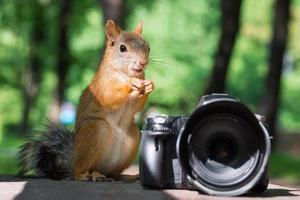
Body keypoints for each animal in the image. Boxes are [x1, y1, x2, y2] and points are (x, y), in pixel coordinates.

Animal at [18, 19, 155, 181]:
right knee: (80, 169)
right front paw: (131, 84)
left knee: (113, 173)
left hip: (132, 138)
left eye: (148, 47)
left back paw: (127, 176)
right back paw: (86, 175)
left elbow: (136, 106)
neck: (126, 74)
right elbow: (109, 96)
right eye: (122, 48)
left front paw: (149, 86)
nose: (142, 63)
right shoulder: (101, 86)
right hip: (95, 132)